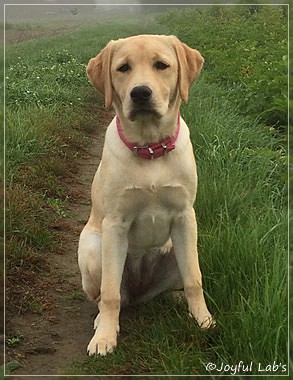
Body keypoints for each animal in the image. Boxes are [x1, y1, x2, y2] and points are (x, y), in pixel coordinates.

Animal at [78, 33, 212, 356]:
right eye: (123, 68)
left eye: (161, 65)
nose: (140, 93)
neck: (150, 150)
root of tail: (140, 290)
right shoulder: (115, 224)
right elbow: (110, 293)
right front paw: (104, 338)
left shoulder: (185, 217)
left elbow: (194, 278)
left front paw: (204, 320)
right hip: (93, 247)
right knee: (110, 296)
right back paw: (102, 320)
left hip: (180, 248)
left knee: (172, 283)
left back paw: (176, 300)